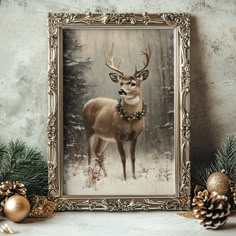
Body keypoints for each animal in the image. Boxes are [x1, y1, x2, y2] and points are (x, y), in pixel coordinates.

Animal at [83, 43, 151, 181]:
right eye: (121, 82)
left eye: (133, 83)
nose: (121, 91)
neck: (131, 119)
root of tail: (86, 104)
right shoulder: (118, 135)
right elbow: (123, 158)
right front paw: (125, 178)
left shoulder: (135, 136)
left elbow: (133, 157)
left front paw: (134, 177)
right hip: (88, 130)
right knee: (89, 152)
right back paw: (89, 175)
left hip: (104, 137)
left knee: (98, 152)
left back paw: (105, 175)